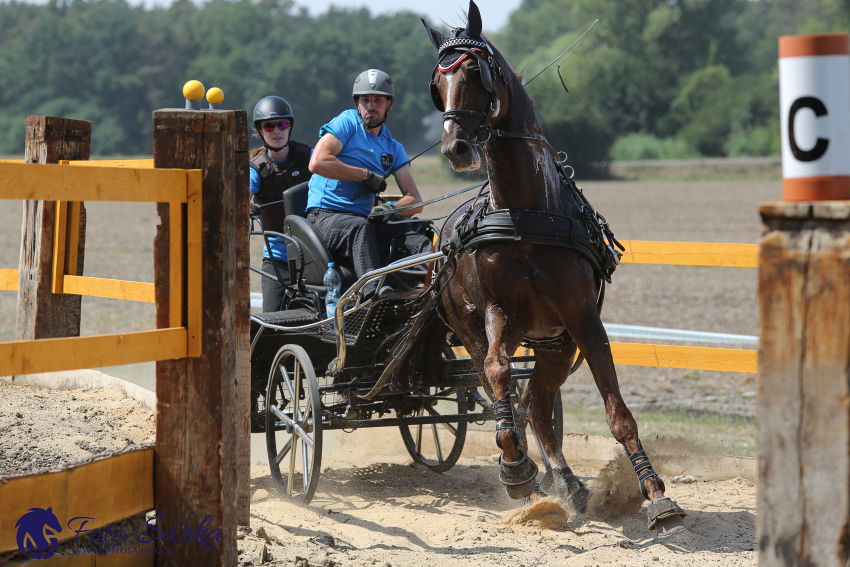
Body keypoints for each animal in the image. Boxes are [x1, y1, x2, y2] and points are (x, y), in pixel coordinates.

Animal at [396, 2, 684, 540]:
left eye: (475, 72)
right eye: (437, 83)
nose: (455, 148)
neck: (527, 208)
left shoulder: (580, 317)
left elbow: (617, 411)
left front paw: (656, 493)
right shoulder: (496, 312)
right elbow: (497, 375)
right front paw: (515, 467)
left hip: (554, 343)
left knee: (535, 401)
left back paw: (565, 481)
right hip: (479, 329)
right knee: (504, 390)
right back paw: (527, 473)